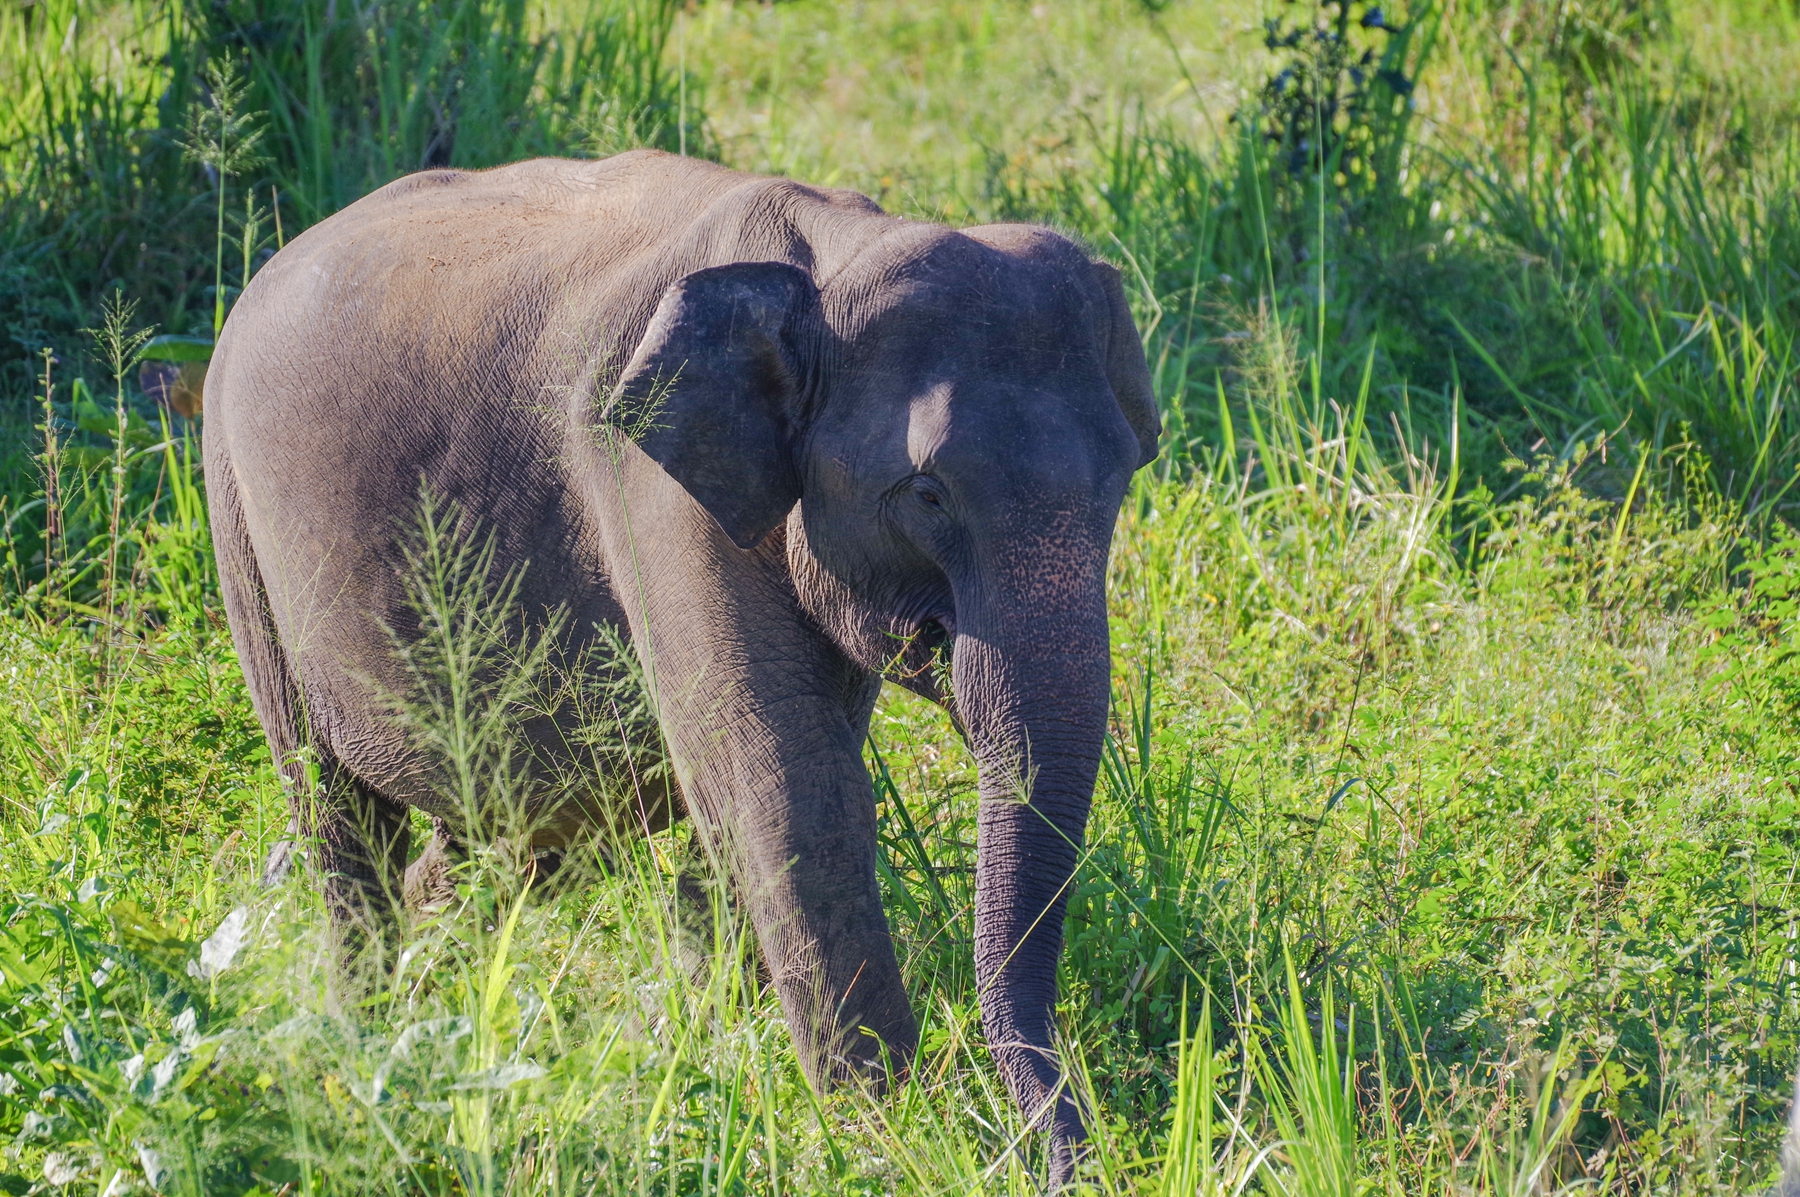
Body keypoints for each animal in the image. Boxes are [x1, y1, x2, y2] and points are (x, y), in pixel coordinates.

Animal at [204, 146, 1159, 1173]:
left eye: (1121, 481)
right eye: (927, 493)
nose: (1074, 1161)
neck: (835, 256)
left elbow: (733, 793)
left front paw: (728, 1053)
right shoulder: (651, 486)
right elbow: (785, 785)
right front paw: (885, 1133)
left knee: (516, 836)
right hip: (237, 515)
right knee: (336, 810)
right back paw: (366, 1041)